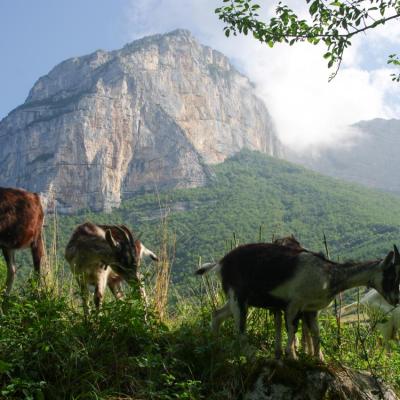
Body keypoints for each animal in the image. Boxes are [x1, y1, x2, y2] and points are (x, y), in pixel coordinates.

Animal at [197, 244, 400, 360]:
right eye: (392, 276)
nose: (395, 300)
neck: (329, 275)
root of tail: (220, 263)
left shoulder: (311, 309)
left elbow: (316, 332)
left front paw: (318, 359)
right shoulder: (294, 304)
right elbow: (292, 329)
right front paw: (292, 356)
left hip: (238, 299)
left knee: (217, 315)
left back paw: (215, 346)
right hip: (238, 297)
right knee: (240, 331)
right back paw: (249, 355)